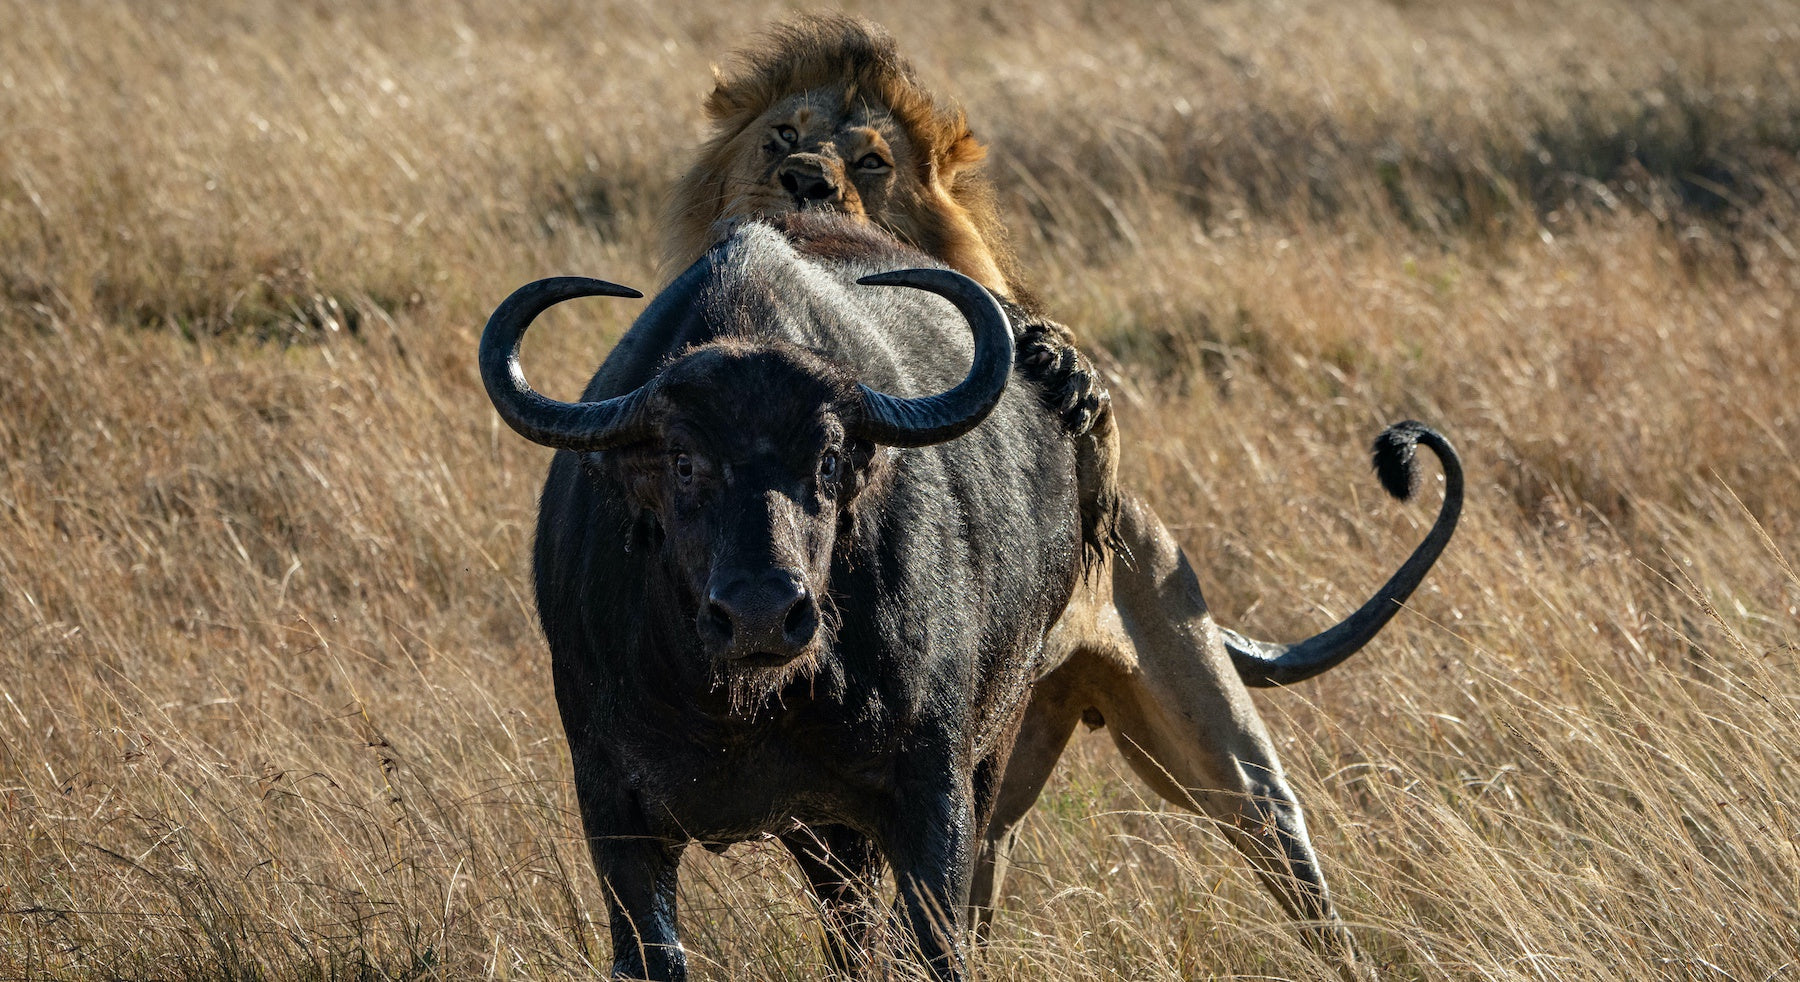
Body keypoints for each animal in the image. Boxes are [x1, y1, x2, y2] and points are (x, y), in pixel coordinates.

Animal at [655, 13, 1454, 971]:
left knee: (1288, 859)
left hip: (1223, 757)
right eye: (781, 136)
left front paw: (1062, 371)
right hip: (1001, 793)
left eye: (871, 162)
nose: (805, 180)